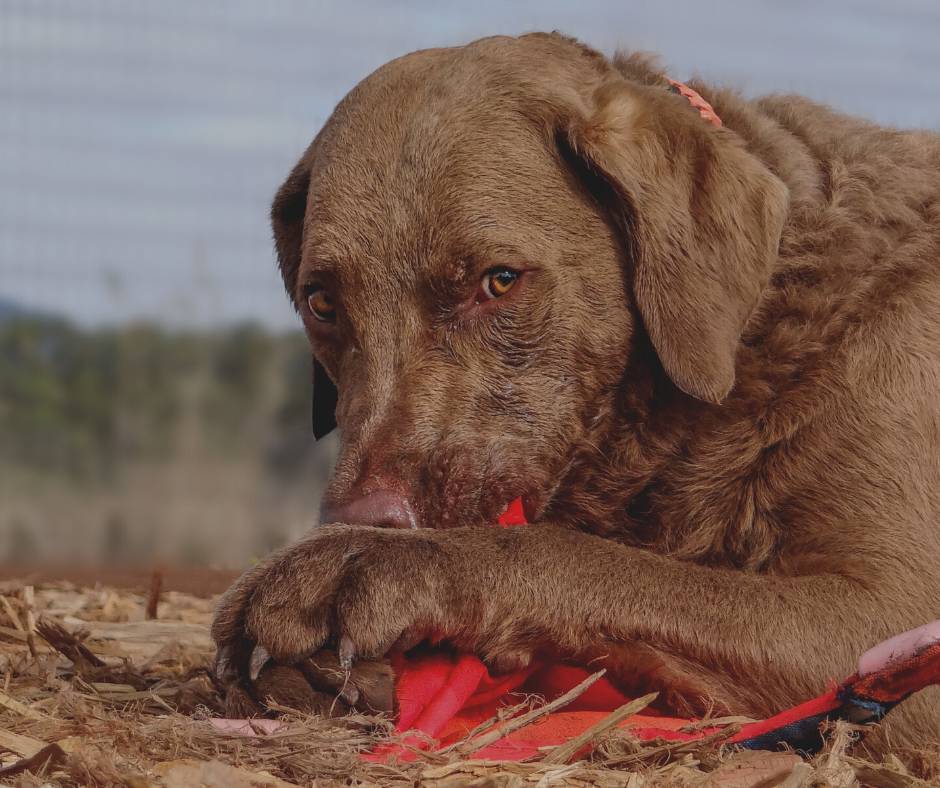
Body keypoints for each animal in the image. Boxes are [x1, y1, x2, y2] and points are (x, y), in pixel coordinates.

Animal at [211, 33, 940, 748]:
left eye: (500, 280)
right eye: (322, 302)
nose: (369, 517)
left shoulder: (892, 615)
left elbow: (575, 555)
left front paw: (371, 563)